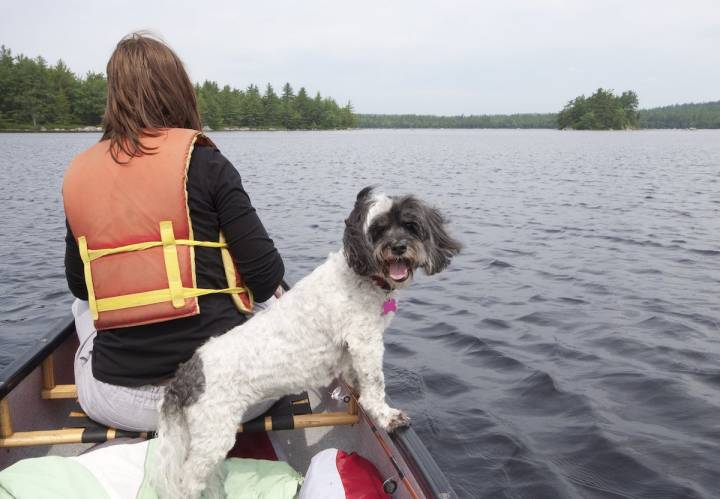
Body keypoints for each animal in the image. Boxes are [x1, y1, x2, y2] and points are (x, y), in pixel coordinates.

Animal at [152, 188, 462, 499]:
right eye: (378, 229)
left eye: (410, 226)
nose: (398, 247)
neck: (361, 277)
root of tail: (185, 376)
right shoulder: (365, 340)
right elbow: (375, 385)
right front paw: (387, 416)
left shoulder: (351, 349)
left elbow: (356, 376)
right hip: (213, 435)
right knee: (187, 482)